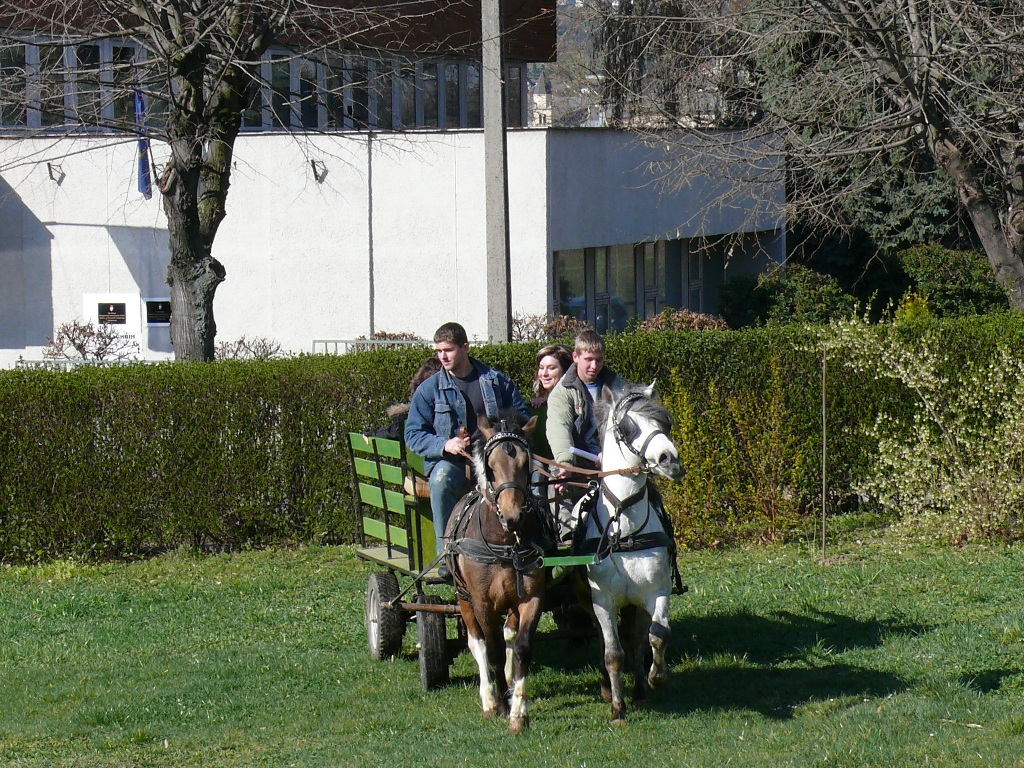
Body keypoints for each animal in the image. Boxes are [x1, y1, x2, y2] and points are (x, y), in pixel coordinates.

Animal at [443, 412, 549, 733]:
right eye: (491, 466)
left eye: (526, 464)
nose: (513, 516)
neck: (505, 543)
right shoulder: (482, 602)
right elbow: (491, 648)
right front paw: (500, 705)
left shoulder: (531, 598)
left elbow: (521, 647)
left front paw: (518, 712)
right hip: (463, 596)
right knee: (477, 643)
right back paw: (489, 699)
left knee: (509, 637)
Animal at [576, 383, 683, 724]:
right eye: (627, 427)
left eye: (665, 421)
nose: (669, 459)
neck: (625, 528)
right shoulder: (602, 601)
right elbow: (612, 653)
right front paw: (618, 709)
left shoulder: (656, 591)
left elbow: (658, 634)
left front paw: (656, 678)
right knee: (603, 642)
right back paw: (607, 688)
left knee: (637, 640)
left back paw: (639, 688)